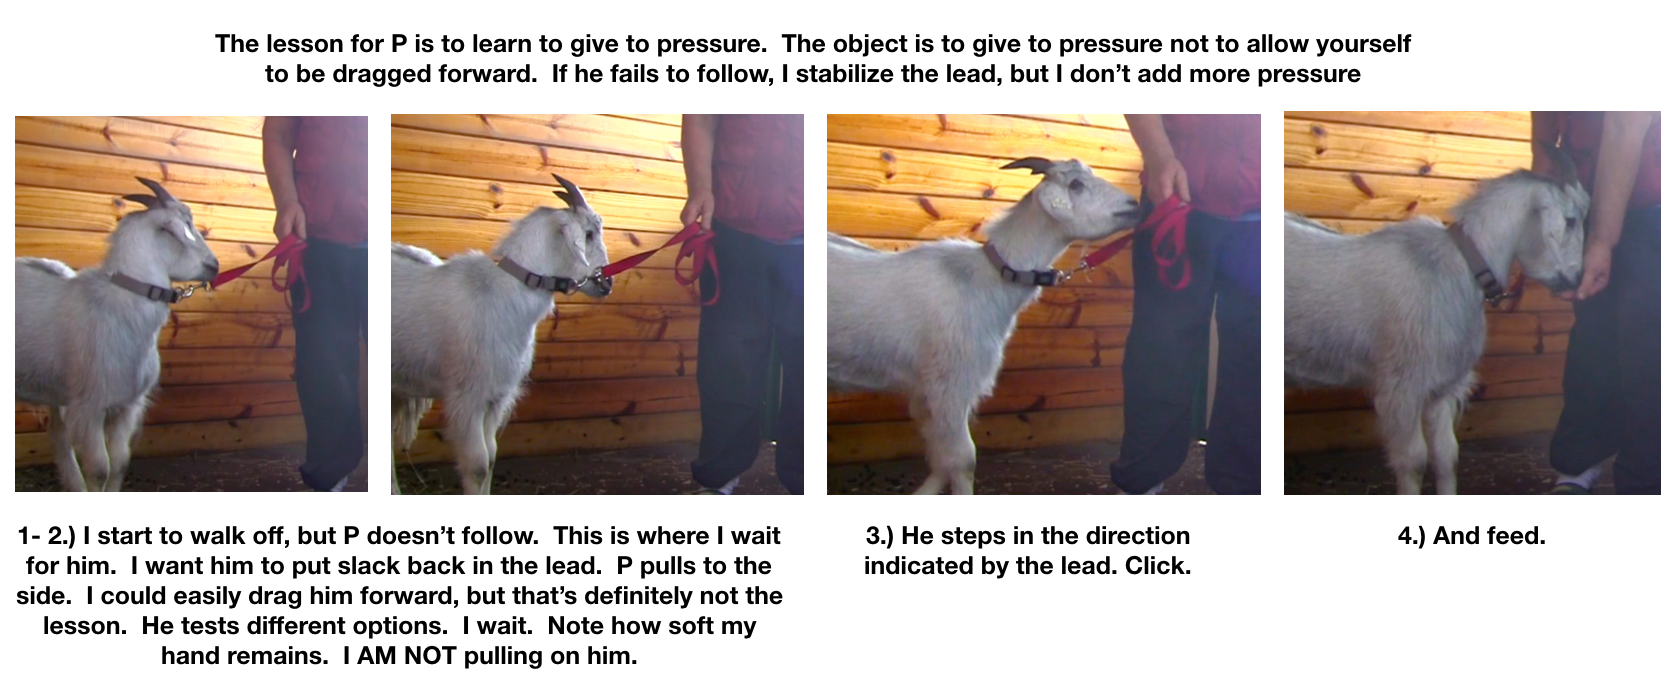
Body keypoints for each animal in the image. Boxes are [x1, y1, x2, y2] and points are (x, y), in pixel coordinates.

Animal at [15, 178, 221, 491]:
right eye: (184, 225)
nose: (215, 266)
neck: (118, 307)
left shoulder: (127, 405)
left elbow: (121, 463)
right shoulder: (90, 406)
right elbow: (100, 469)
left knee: (57, 436)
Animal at [391, 175, 612, 494]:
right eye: (589, 233)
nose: (607, 284)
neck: (503, 293)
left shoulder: (496, 396)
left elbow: (492, 456)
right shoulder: (468, 396)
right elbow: (479, 465)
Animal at [828, 158, 1141, 494]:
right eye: (1076, 185)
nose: (1135, 205)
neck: (985, 278)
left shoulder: (926, 391)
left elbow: (940, 455)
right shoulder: (952, 383)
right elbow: (963, 459)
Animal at [1284, 146, 1588, 494]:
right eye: (1570, 220)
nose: (1577, 279)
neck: (1460, 265)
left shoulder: (1441, 387)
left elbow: (1447, 457)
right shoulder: (1402, 387)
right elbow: (1414, 462)